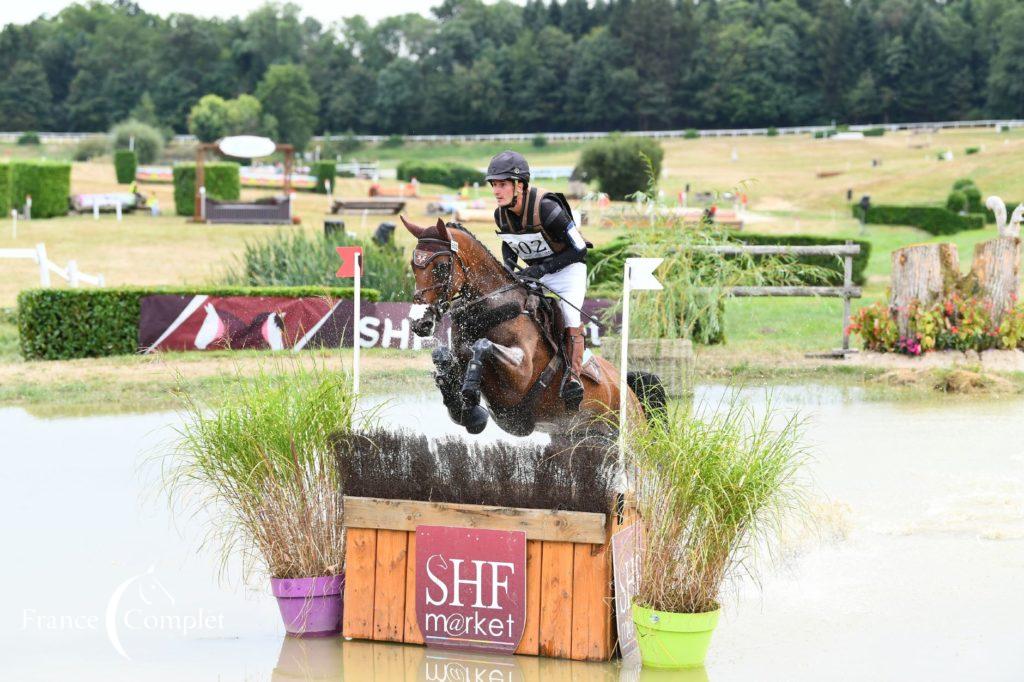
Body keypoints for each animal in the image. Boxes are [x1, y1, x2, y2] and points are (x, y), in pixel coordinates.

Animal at [399, 216, 663, 436]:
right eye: (413, 265)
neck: (490, 310)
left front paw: (470, 390)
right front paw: (466, 407)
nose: (420, 322)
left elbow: (482, 346)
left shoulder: (521, 373)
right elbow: (443, 356)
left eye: (442, 267)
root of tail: (630, 392)